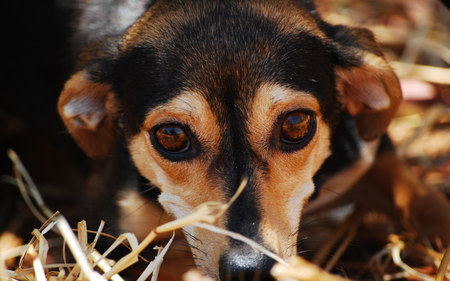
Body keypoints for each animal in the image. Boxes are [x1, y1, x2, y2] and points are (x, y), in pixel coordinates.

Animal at [51, 0, 450, 278]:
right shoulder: (115, 241)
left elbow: (427, 203)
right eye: (170, 135)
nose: (248, 269)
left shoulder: (369, 158)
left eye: (295, 124)